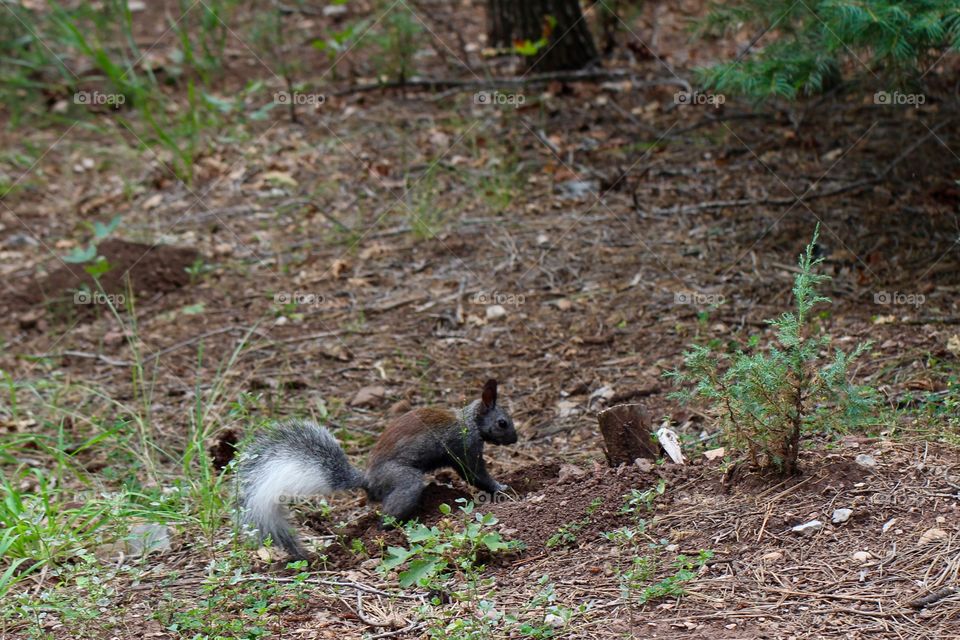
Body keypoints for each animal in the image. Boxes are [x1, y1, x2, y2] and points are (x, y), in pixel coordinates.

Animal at [236, 379, 518, 558]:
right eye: (502, 422)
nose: (515, 439)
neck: (468, 421)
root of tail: (368, 481)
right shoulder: (465, 447)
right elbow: (474, 474)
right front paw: (501, 487)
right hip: (404, 482)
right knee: (386, 517)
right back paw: (395, 530)